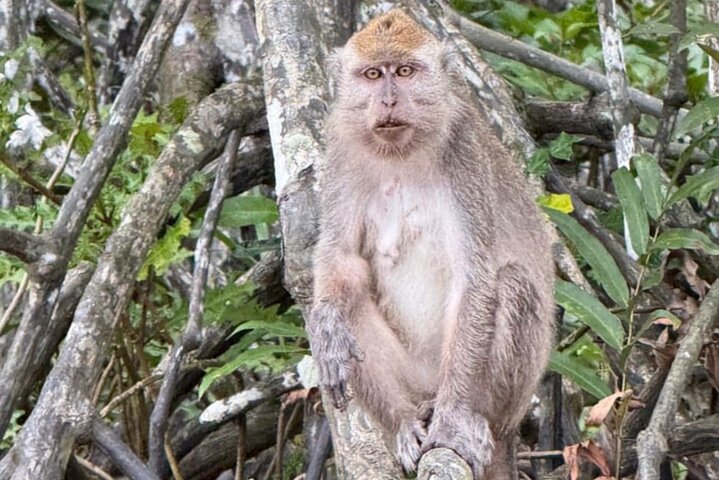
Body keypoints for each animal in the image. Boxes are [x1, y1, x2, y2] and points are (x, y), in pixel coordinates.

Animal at [308, 9, 555, 479]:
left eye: (405, 72)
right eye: (373, 74)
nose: (388, 101)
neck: (401, 152)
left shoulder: (464, 156)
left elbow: (473, 280)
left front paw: (455, 423)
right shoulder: (342, 154)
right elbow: (342, 259)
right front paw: (326, 323)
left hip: (497, 394)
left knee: (512, 283)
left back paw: (475, 420)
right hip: (416, 377)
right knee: (354, 301)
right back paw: (405, 419)